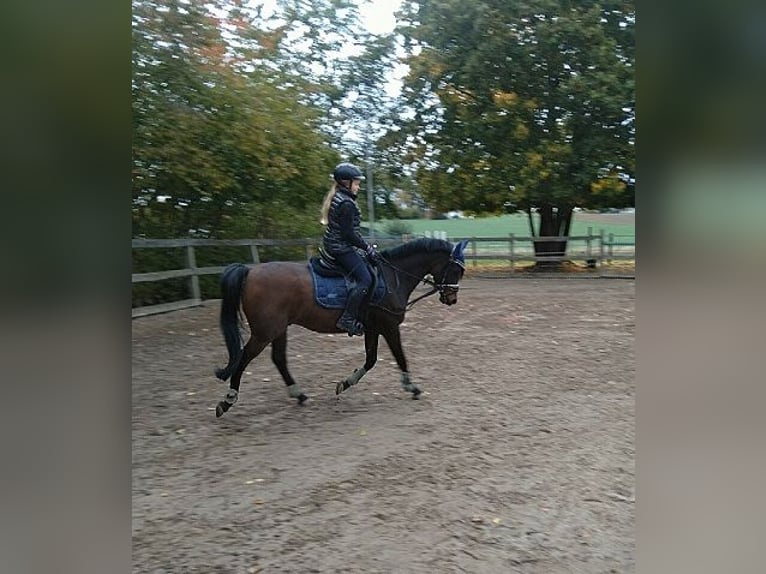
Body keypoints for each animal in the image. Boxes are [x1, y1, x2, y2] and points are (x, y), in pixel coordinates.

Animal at [213, 237, 470, 417]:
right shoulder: (388, 326)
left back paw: (299, 395)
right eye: (456, 269)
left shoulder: (373, 328)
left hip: (278, 329)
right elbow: (399, 356)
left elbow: (371, 359)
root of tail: (250, 271)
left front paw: (345, 384)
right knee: (243, 357)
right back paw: (227, 400)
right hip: (264, 332)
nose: (451, 298)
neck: (392, 276)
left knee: (278, 359)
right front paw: (412, 387)